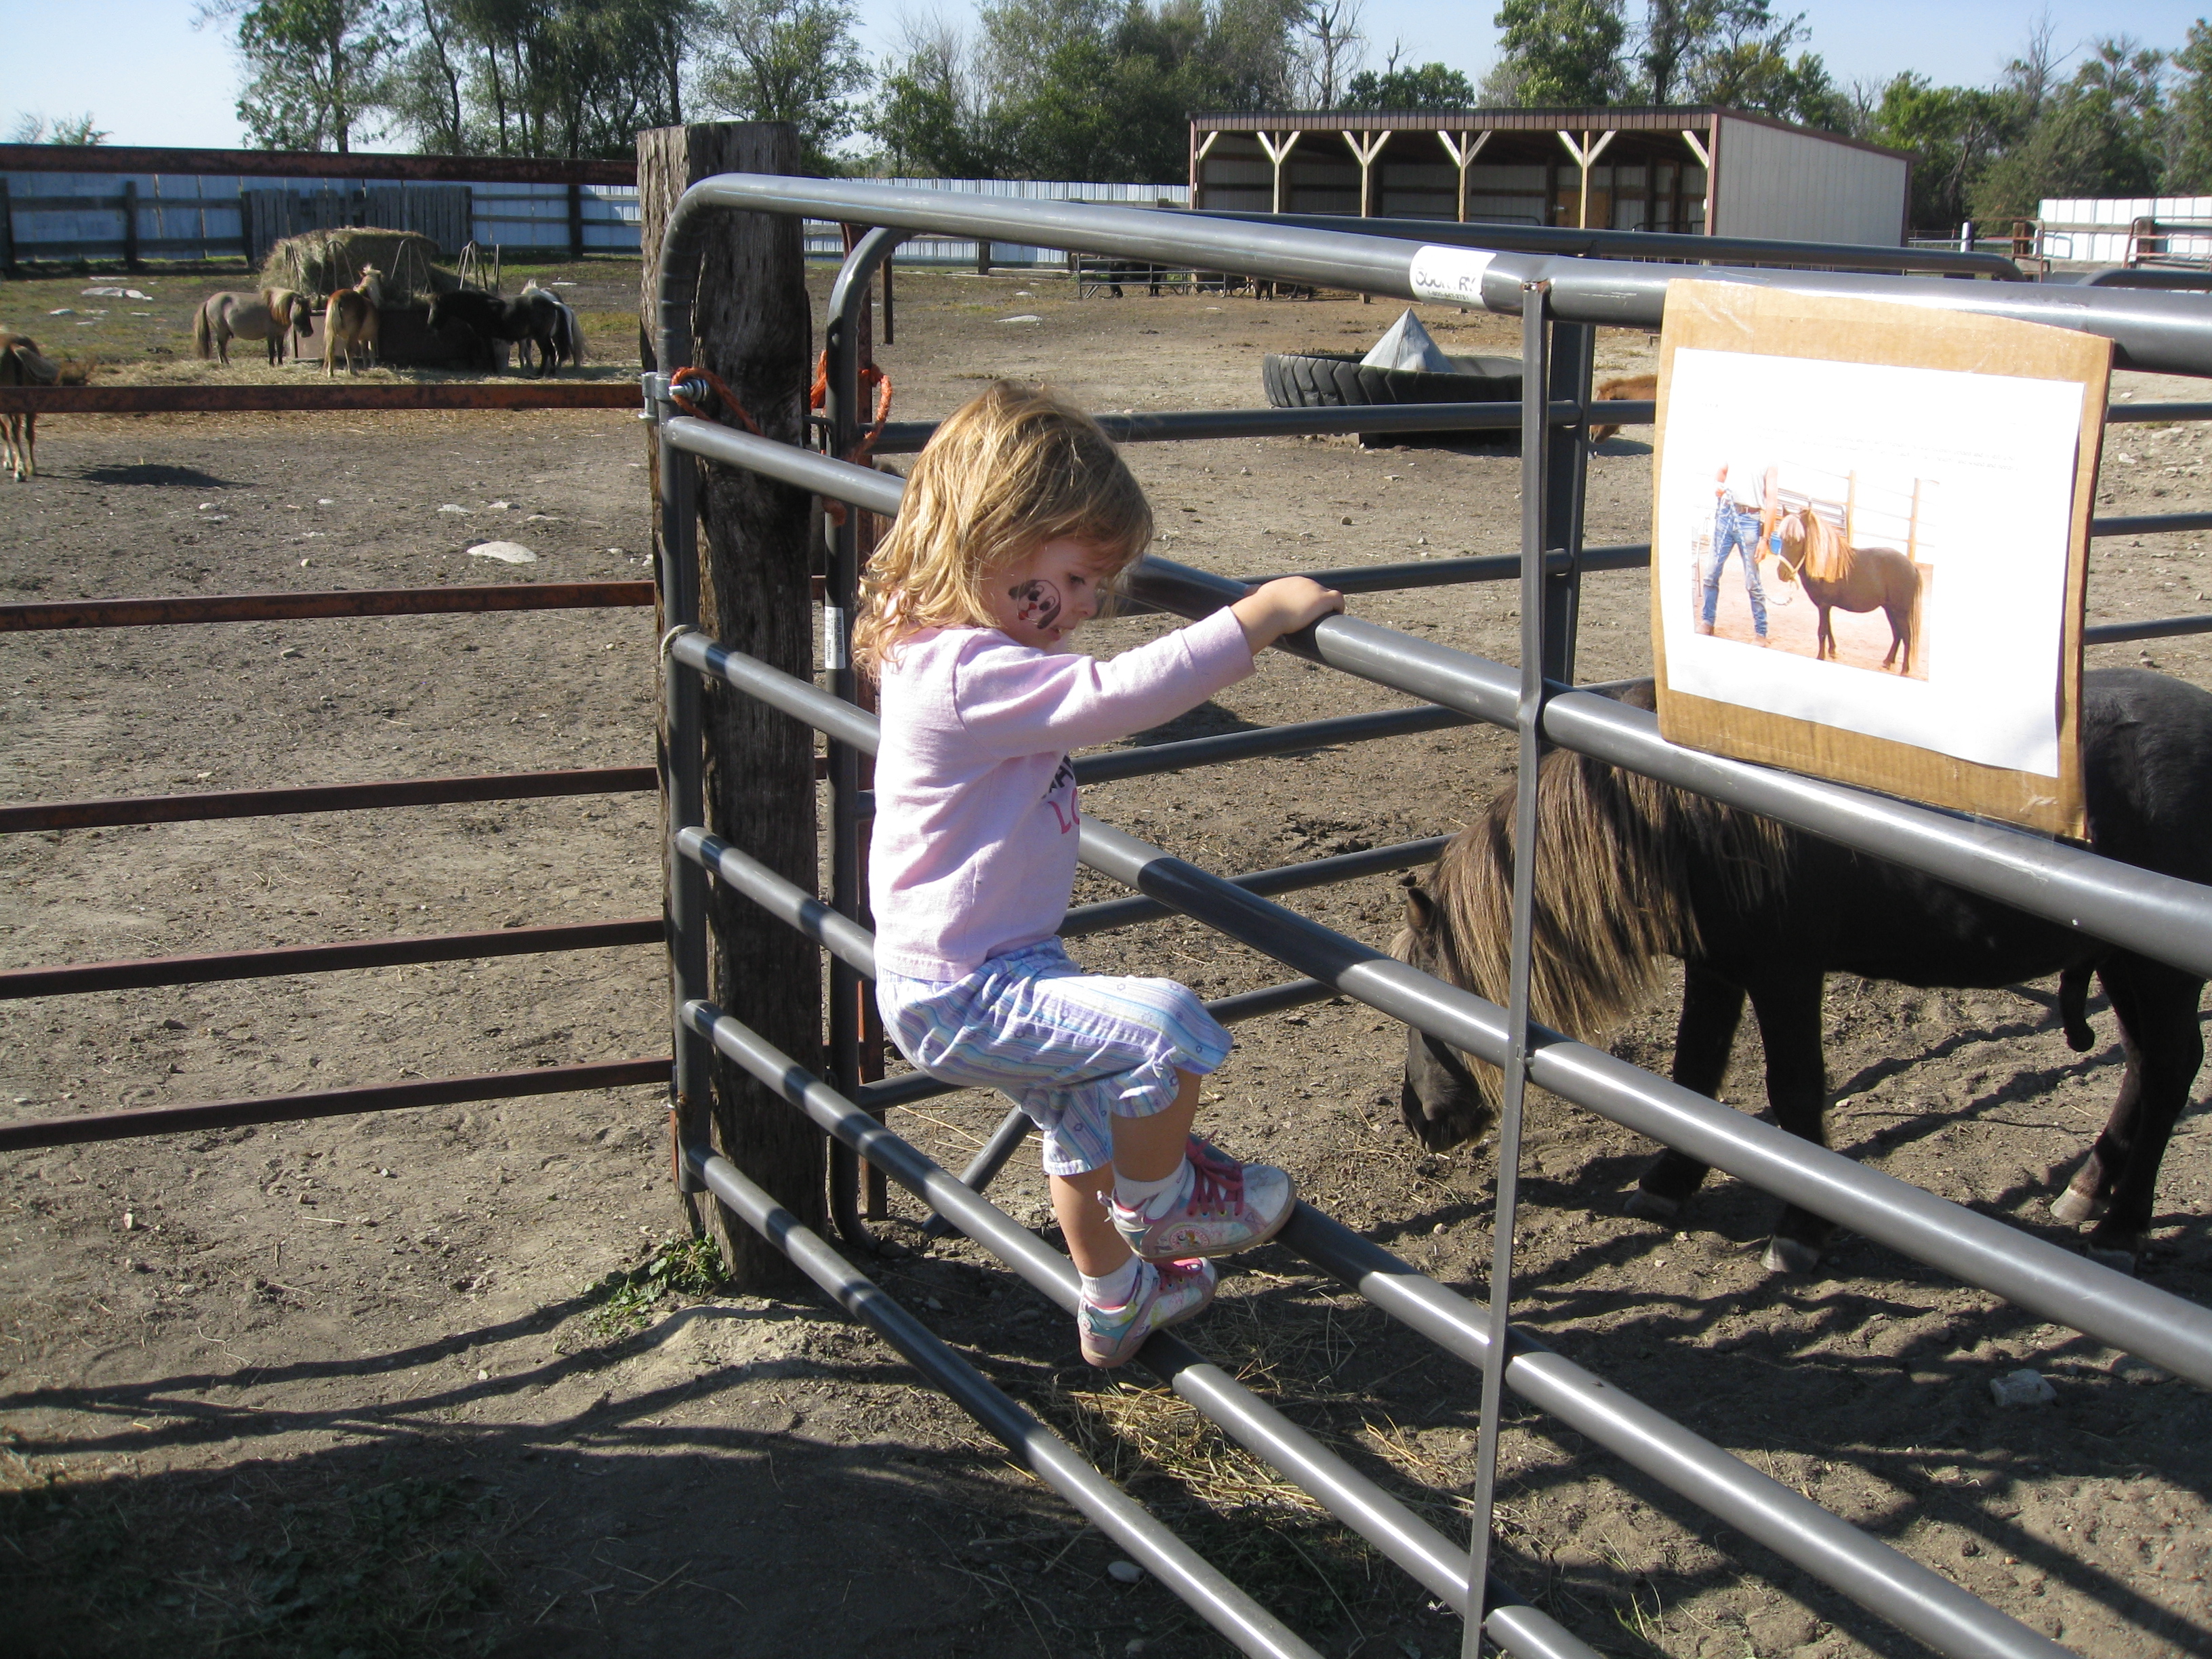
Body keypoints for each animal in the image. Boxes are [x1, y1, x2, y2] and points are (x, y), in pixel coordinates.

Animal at [321, 265, 385, 376]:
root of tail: (339, 298)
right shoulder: (372, 335)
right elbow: (371, 350)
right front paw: (372, 366)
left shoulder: (359, 338)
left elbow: (364, 352)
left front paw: (366, 367)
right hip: (353, 333)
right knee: (348, 349)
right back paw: (353, 371)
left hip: (332, 333)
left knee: (331, 350)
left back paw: (331, 373)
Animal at [1391, 672, 2212, 1278]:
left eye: (1429, 1004)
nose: (1420, 1121)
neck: (1685, 806)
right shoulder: (1717, 968)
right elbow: (1693, 1076)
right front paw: (1667, 1184)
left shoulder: (1785, 973)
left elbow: (1794, 1091)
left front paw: (1803, 1229)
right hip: (2123, 967)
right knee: (2144, 1067)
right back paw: (2087, 1192)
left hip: (2162, 974)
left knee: (2172, 1071)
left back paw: (2123, 1227)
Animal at [1773, 506, 1924, 674]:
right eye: (1781, 538)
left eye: (1798, 541)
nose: (1782, 573)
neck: (1826, 566)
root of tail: (1912, 567)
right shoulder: (1826, 606)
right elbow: (1829, 629)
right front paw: (1832, 652)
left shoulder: (1824, 606)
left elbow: (1822, 631)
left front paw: (1821, 657)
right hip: (1890, 609)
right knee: (1897, 634)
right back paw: (1887, 662)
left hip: (1900, 611)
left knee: (1907, 636)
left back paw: (1904, 670)